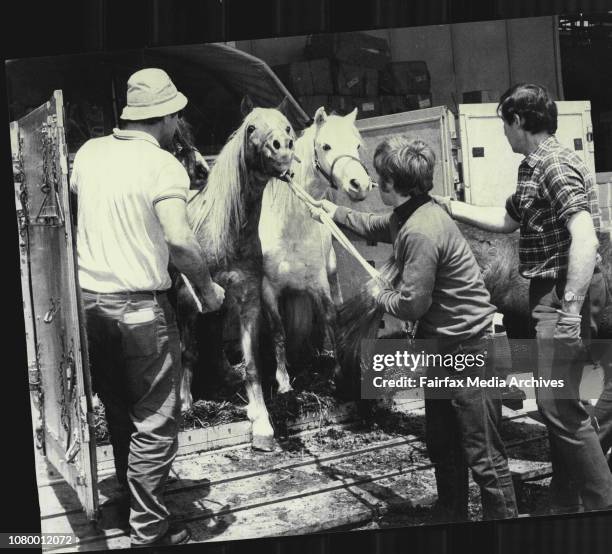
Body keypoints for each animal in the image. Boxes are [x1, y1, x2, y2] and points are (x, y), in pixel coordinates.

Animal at [260, 106, 372, 392]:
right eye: (326, 146)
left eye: (357, 145)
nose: (359, 185)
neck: (288, 229)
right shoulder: (268, 290)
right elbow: (277, 331)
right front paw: (283, 382)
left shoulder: (319, 282)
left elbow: (331, 318)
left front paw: (340, 373)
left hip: (330, 274)